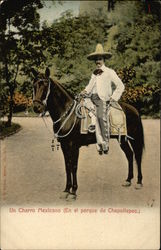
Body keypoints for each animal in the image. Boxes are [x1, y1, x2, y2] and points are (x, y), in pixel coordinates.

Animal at [31, 67, 145, 200]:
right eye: (34, 85)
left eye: (45, 85)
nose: (37, 107)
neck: (69, 115)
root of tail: (134, 110)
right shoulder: (65, 146)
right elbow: (67, 166)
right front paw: (66, 190)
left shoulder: (74, 146)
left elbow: (74, 167)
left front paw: (73, 191)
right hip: (122, 139)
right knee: (129, 155)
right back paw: (128, 180)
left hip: (134, 138)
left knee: (137, 156)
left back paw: (139, 182)